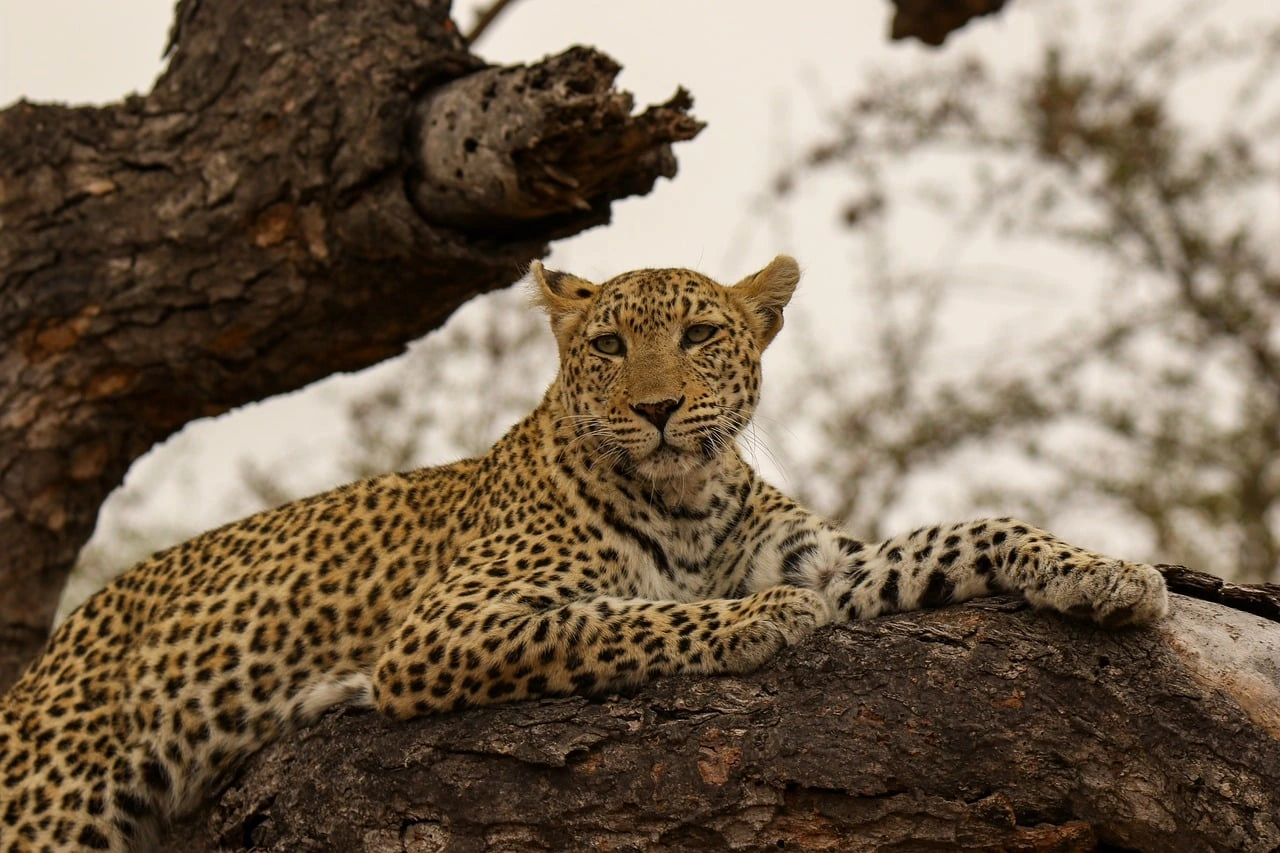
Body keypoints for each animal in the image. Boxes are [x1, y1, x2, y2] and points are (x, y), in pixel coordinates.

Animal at [0, 255, 1169, 852]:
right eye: (606, 345)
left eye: (700, 335)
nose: (654, 409)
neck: (687, 494)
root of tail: (46, 659)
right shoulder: (441, 630)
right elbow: (614, 620)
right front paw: (750, 624)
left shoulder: (828, 563)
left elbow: (965, 531)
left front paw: (1108, 570)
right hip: (56, 808)